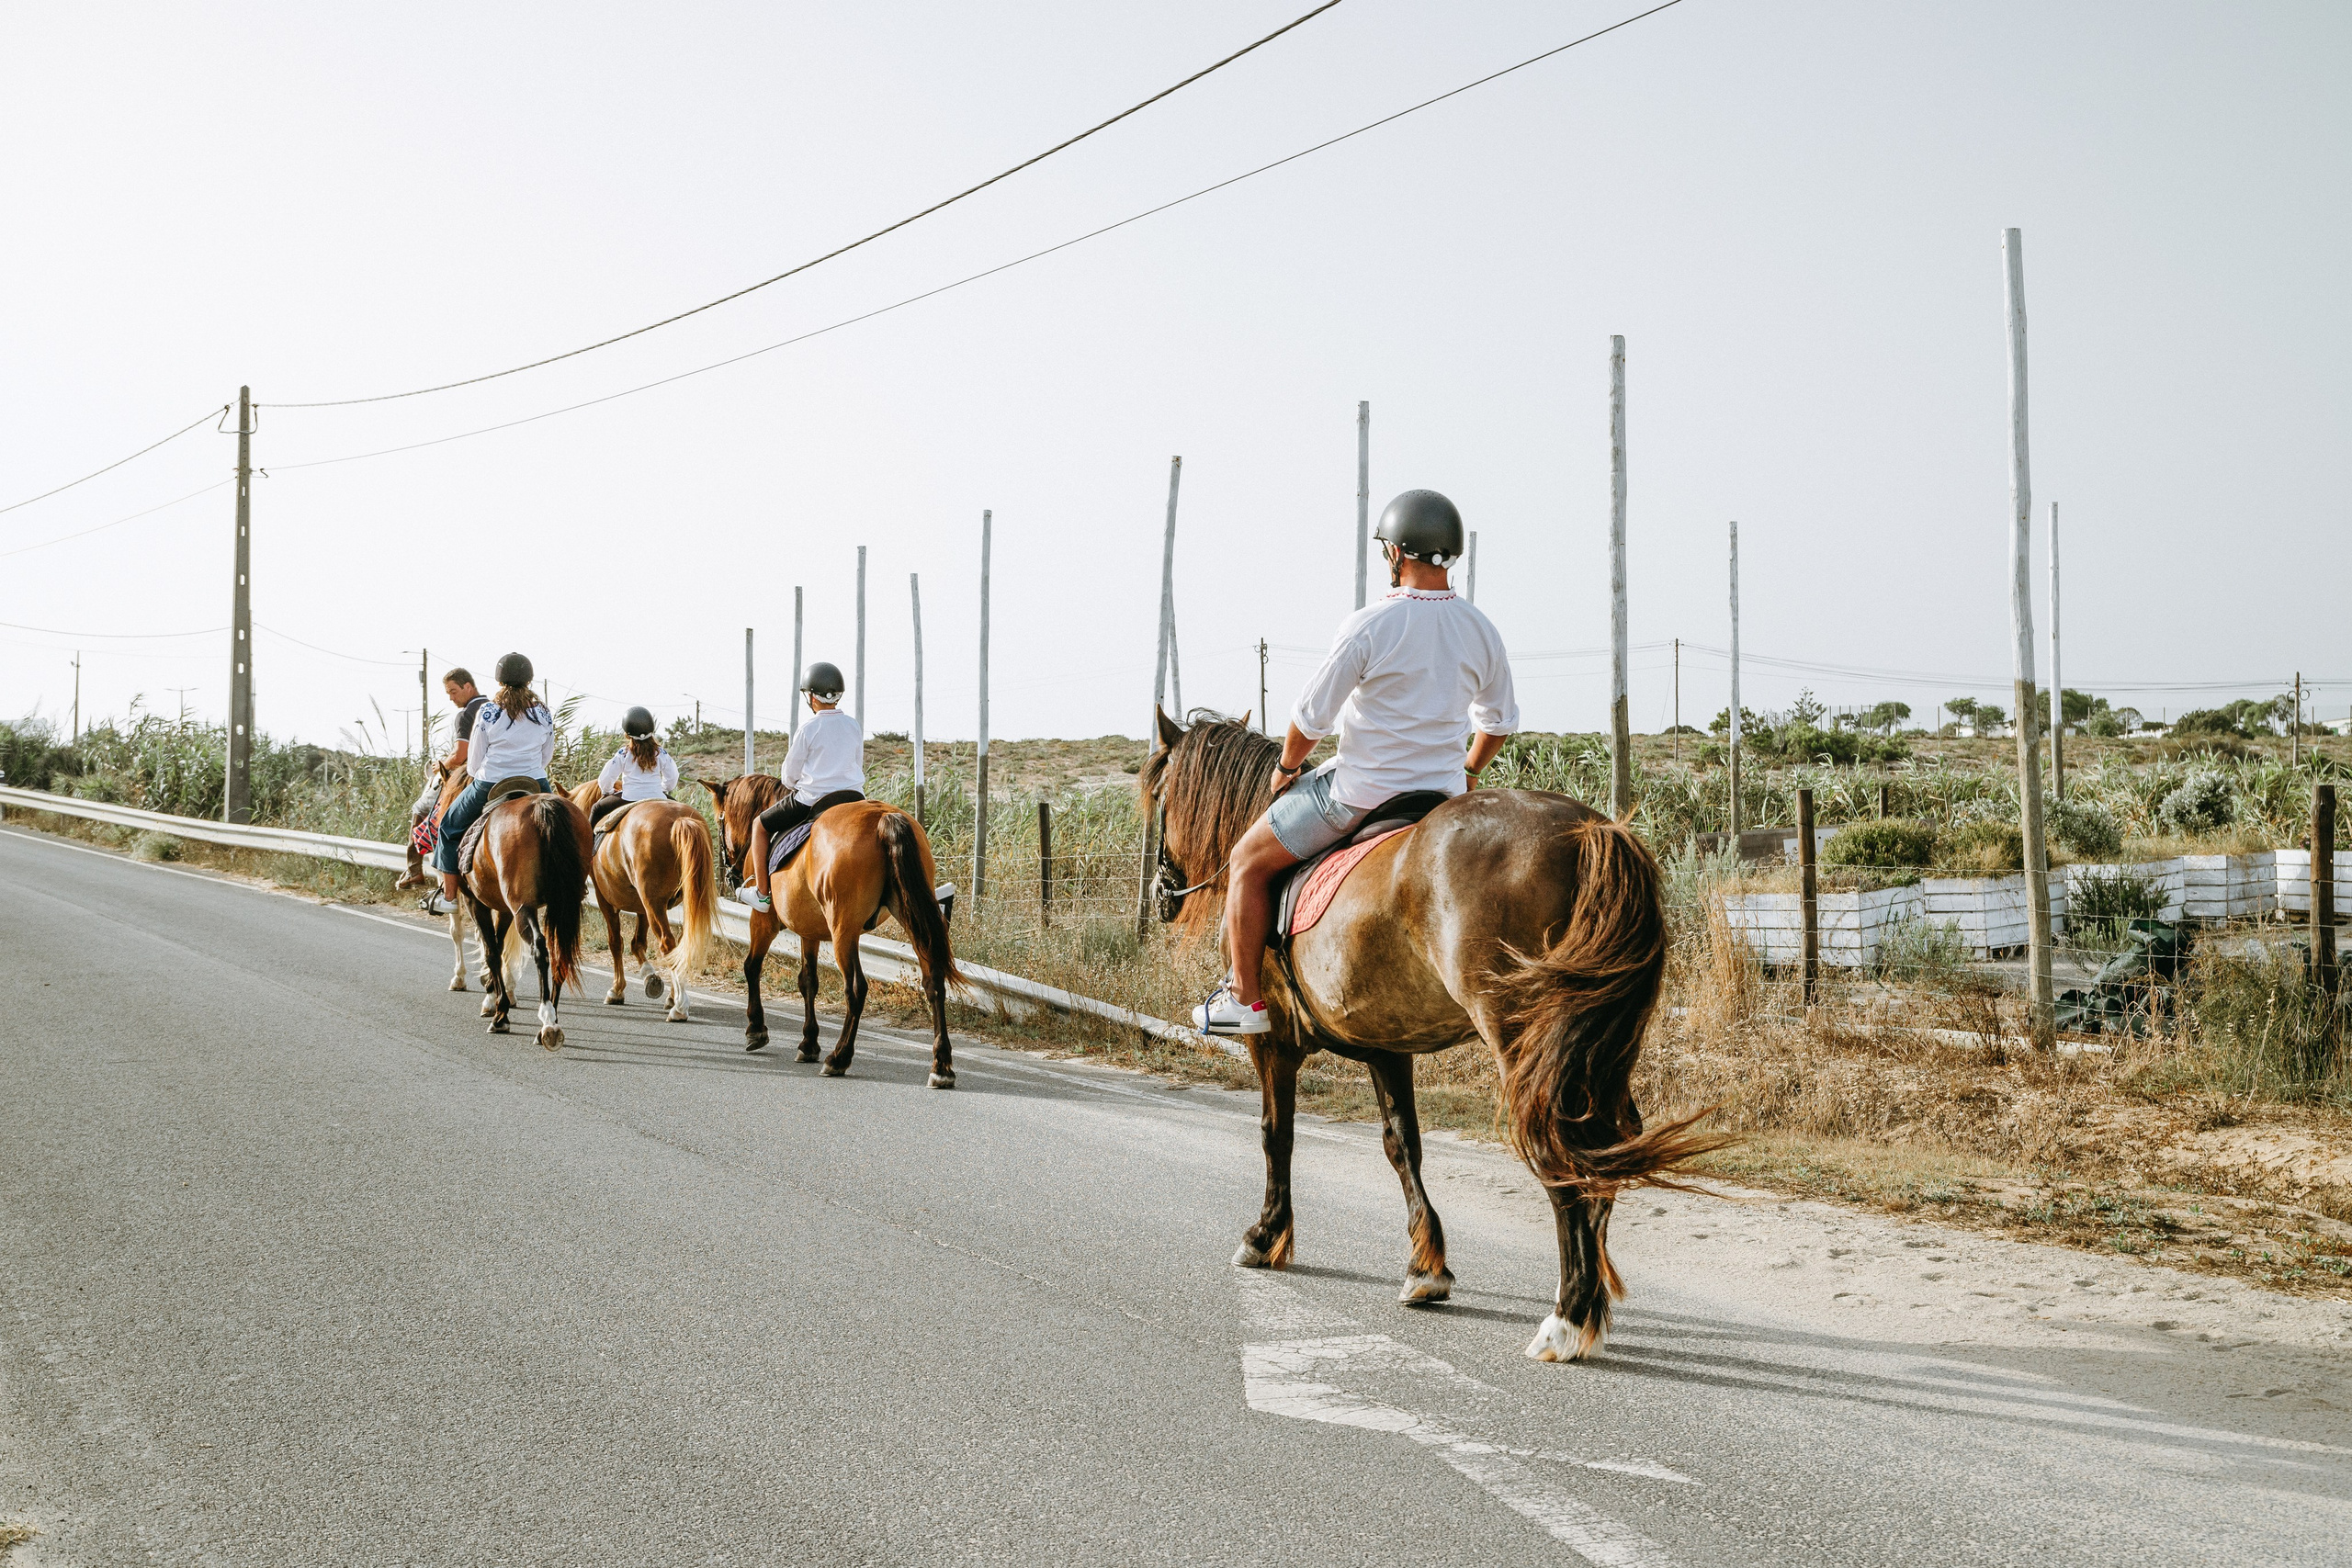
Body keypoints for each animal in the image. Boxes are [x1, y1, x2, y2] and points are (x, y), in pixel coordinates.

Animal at [460, 789, 592, 1050]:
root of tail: (543, 806)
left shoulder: (476, 903)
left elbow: (492, 952)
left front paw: (500, 1013)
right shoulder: (503, 909)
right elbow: (499, 947)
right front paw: (493, 997)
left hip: (522, 907)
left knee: (540, 948)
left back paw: (547, 1021)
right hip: (560, 906)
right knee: (559, 953)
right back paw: (549, 1023)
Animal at [566, 781, 718, 1022]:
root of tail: (679, 820)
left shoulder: (605, 900)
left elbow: (616, 942)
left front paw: (617, 990)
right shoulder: (643, 906)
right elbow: (637, 943)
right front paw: (651, 979)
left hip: (653, 902)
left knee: (667, 943)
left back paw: (680, 1008)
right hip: (678, 901)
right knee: (679, 946)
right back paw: (675, 999)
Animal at [702, 775, 959, 1085]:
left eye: (720, 822)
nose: (731, 874)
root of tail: (883, 818)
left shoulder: (763, 921)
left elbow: (752, 966)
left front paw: (756, 1029)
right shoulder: (809, 930)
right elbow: (808, 981)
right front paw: (808, 1043)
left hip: (843, 929)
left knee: (856, 988)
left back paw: (839, 1057)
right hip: (911, 917)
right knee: (934, 982)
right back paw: (941, 1066)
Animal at [1141, 710, 1723, 1362]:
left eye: (1159, 797)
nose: (1162, 891)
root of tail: (1591, 830)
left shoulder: (1274, 1044)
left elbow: (1276, 1136)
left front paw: (1265, 1236)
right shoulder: (1386, 1046)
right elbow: (1402, 1145)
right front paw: (1426, 1267)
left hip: (1524, 1038)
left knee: (1560, 1152)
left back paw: (1568, 1318)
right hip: (1601, 1046)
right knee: (1601, 1149)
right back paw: (1586, 1301)